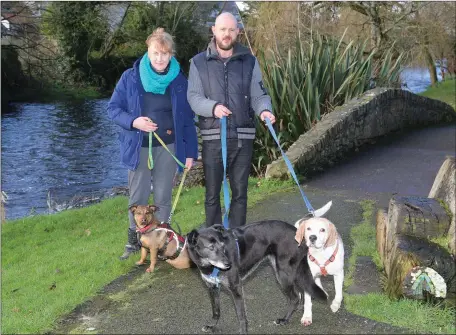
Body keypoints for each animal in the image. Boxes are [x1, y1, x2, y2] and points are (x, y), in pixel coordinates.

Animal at [185, 222, 328, 334]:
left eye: (222, 245)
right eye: (211, 247)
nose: (228, 264)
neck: (208, 265)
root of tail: (298, 234)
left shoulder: (236, 289)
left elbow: (241, 315)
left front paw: (243, 332)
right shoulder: (212, 288)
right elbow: (216, 311)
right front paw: (212, 326)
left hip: (283, 274)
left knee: (295, 297)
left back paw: (285, 319)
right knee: (299, 294)